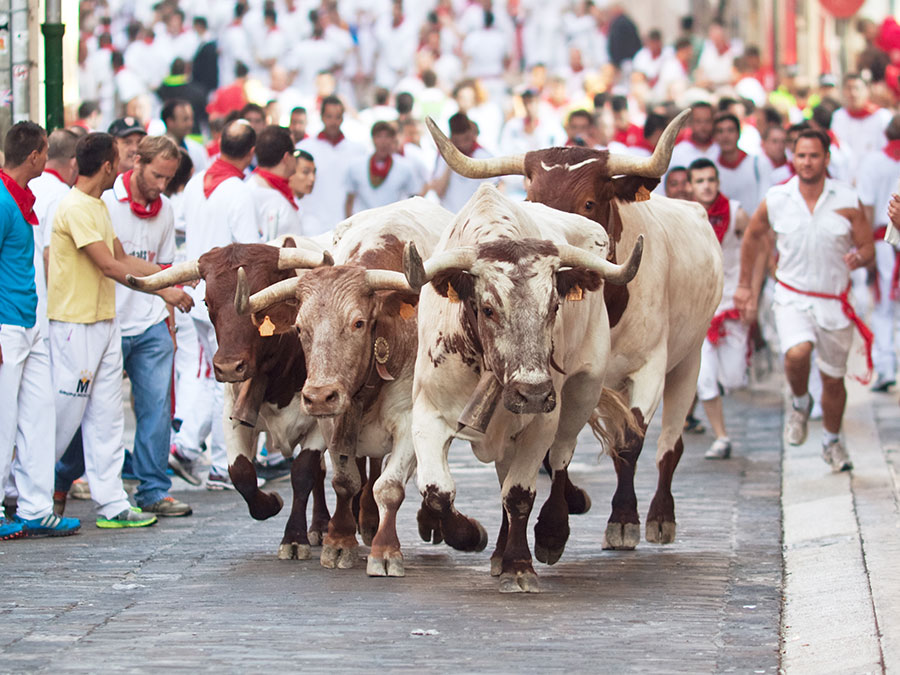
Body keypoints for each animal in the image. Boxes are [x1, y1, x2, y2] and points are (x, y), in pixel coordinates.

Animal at [404, 184, 644, 592]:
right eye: (488, 309)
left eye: (553, 307)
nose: (531, 393)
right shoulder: (428, 414)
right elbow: (438, 491)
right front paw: (466, 534)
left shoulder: (540, 422)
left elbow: (518, 495)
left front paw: (518, 565)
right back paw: (498, 551)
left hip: (582, 391)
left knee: (560, 459)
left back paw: (550, 534)